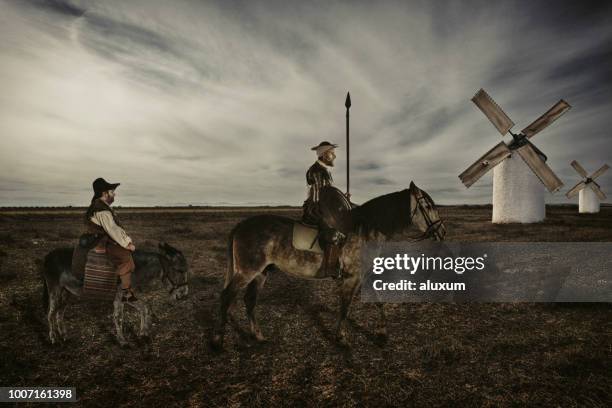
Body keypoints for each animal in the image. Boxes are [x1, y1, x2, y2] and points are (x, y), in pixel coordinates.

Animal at [41, 244, 188, 346]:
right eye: (180, 271)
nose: (184, 295)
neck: (135, 269)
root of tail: (49, 256)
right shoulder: (119, 298)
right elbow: (119, 318)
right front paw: (123, 341)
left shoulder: (128, 298)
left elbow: (145, 308)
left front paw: (143, 335)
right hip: (55, 290)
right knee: (50, 314)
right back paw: (54, 339)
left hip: (66, 293)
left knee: (60, 313)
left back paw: (64, 336)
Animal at [210, 183, 444, 350]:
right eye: (428, 206)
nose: (441, 232)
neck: (365, 230)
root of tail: (241, 226)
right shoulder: (352, 278)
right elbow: (345, 307)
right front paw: (341, 339)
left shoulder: (363, 276)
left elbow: (378, 302)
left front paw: (382, 335)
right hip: (247, 271)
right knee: (227, 297)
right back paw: (218, 341)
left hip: (261, 273)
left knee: (249, 300)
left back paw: (258, 336)